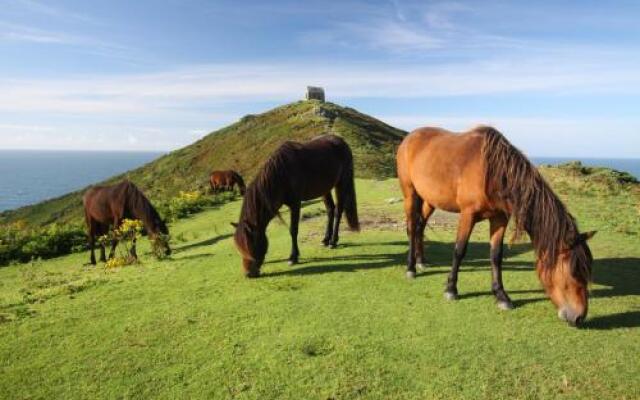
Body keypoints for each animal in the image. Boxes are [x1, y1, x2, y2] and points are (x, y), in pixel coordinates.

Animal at [232, 134, 360, 278]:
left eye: (250, 244)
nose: (248, 274)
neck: (282, 174)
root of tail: (341, 141)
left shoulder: (295, 204)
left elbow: (293, 230)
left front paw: (293, 257)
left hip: (341, 182)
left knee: (338, 210)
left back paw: (333, 241)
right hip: (325, 188)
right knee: (330, 209)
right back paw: (325, 239)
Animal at [398, 126, 596, 326]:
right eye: (574, 272)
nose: (579, 317)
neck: (492, 172)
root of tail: (410, 137)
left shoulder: (500, 218)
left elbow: (496, 256)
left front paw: (501, 296)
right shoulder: (468, 214)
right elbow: (459, 250)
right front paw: (451, 289)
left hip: (430, 199)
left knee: (420, 227)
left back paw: (421, 261)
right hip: (410, 193)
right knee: (412, 228)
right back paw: (411, 268)